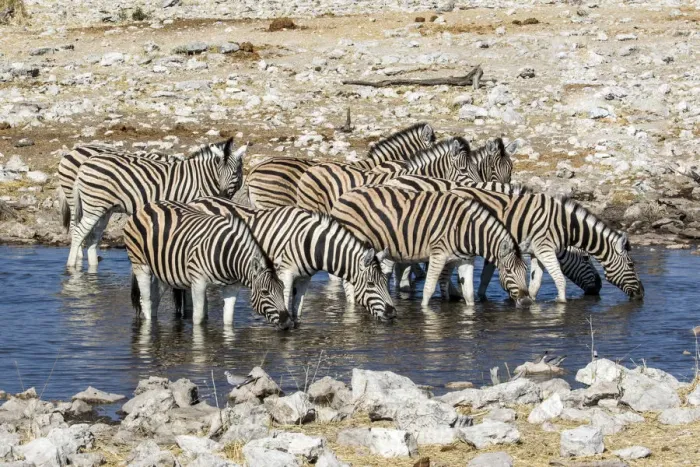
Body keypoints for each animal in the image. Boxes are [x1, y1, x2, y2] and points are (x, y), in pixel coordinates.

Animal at [67, 139, 245, 269]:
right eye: (219, 172)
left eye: (235, 172)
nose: (223, 194)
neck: (202, 178)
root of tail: (86, 163)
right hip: (93, 206)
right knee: (78, 233)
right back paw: (71, 267)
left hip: (105, 210)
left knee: (92, 238)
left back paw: (93, 268)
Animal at [124, 200, 292, 329]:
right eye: (265, 292)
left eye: (282, 288)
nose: (287, 322)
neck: (229, 255)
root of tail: (147, 205)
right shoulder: (198, 282)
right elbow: (198, 319)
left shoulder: (232, 287)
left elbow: (228, 320)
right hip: (140, 264)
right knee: (146, 300)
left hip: (165, 271)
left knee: (154, 299)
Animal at [185, 197, 396, 322]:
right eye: (371, 284)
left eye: (385, 282)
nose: (392, 313)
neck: (311, 243)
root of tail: (197, 200)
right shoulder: (285, 274)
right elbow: (285, 303)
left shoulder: (304, 278)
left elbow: (298, 308)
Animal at [329, 186, 532, 307]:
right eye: (509, 271)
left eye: (525, 271)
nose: (527, 302)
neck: (466, 229)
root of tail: (342, 197)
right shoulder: (438, 254)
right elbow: (428, 288)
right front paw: (426, 312)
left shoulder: (465, 260)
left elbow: (469, 294)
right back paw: (352, 306)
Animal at [386, 180, 643, 301]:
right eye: (631, 265)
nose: (642, 293)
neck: (563, 223)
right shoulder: (544, 248)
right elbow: (559, 279)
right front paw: (561, 304)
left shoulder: (535, 251)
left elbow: (534, 282)